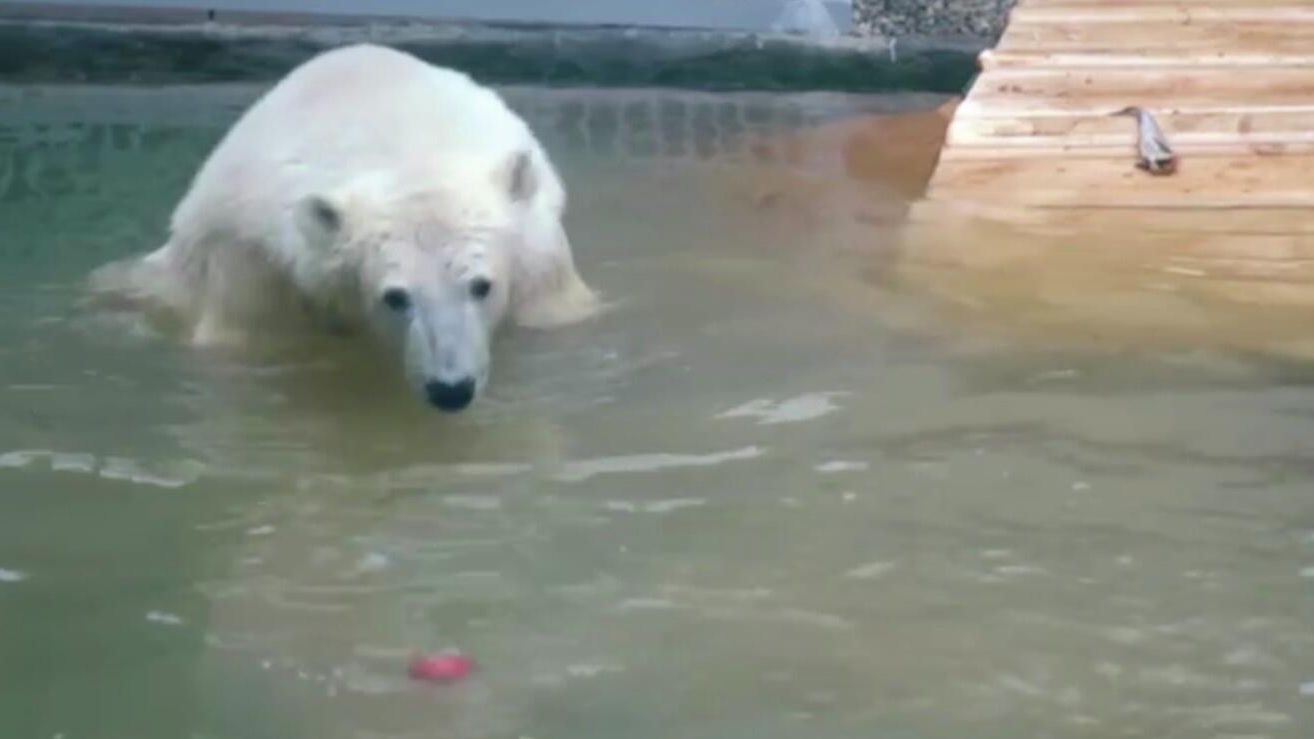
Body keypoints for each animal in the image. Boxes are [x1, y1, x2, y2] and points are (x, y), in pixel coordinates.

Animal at [89, 43, 598, 412]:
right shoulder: (252, 257)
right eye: (395, 296)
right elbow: (248, 340)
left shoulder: (539, 251)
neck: (407, 148)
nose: (450, 389)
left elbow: (557, 313)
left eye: (481, 285)